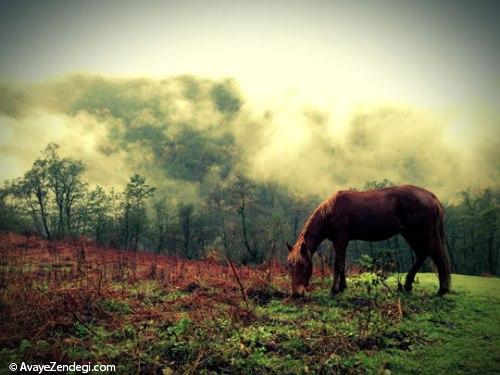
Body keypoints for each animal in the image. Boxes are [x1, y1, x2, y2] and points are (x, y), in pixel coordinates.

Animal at [288, 185, 452, 296]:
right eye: (290, 266)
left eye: (302, 265)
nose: (296, 293)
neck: (330, 211)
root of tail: (431, 196)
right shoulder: (338, 241)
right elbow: (342, 264)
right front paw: (342, 287)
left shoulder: (341, 239)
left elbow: (338, 264)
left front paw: (334, 290)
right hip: (410, 234)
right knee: (422, 254)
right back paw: (408, 286)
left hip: (421, 234)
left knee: (436, 256)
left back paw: (441, 290)